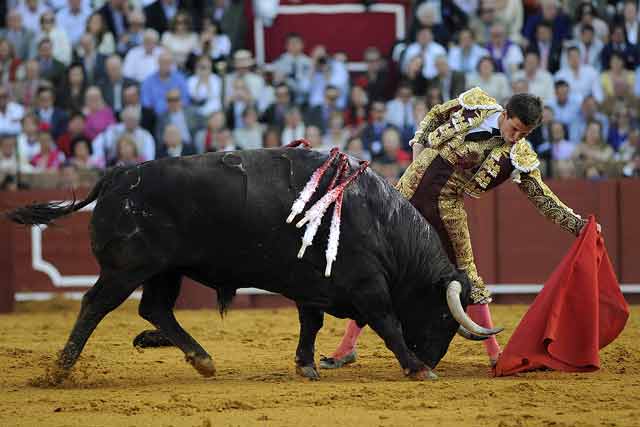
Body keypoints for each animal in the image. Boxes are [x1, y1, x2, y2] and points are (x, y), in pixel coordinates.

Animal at [5, 149, 500, 382]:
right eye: (445, 317)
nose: (431, 357)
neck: (381, 222)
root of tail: (117, 175)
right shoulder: (367, 285)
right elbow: (387, 323)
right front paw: (416, 368)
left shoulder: (314, 286)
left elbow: (310, 323)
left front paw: (306, 366)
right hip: (127, 269)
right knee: (95, 303)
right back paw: (62, 368)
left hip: (165, 271)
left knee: (155, 309)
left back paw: (201, 359)